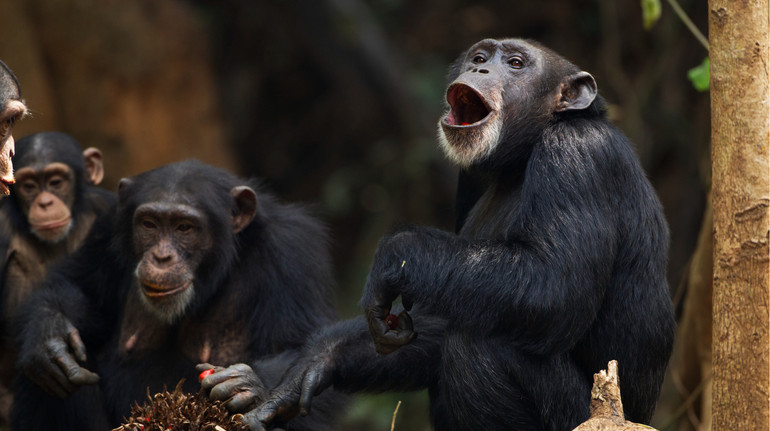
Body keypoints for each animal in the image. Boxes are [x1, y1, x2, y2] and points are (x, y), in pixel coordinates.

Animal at [11, 160, 344, 430]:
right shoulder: (106, 229)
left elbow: (308, 364)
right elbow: (80, 288)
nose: (161, 257)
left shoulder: (293, 252)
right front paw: (49, 333)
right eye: (149, 224)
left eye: (185, 227)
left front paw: (247, 385)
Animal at [202, 38, 672, 430]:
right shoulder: (469, 182)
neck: (519, 159)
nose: (480, 69)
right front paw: (303, 367)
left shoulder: (579, 157)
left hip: (578, 415)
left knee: (479, 346)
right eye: (479, 56)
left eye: (516, 64)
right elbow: (450, 309)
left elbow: (553, 287)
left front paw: (394, 255)